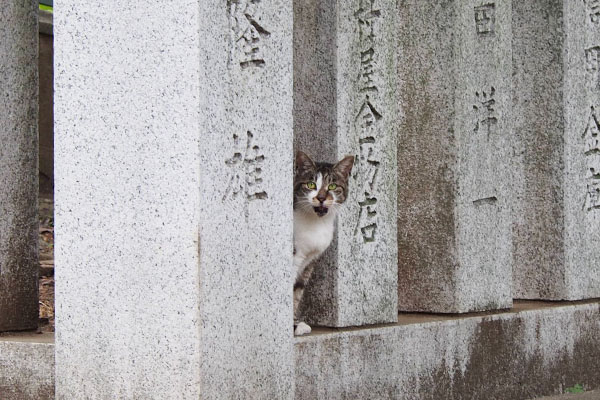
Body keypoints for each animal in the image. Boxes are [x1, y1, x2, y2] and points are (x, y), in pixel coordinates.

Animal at [292, 150, 354, 334]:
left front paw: (295, 324)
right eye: (311, 184)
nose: (320, 198)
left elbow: (297, 291)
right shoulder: (295, 255)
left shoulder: (309, 261)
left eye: (332, 186)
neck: (317, 223)